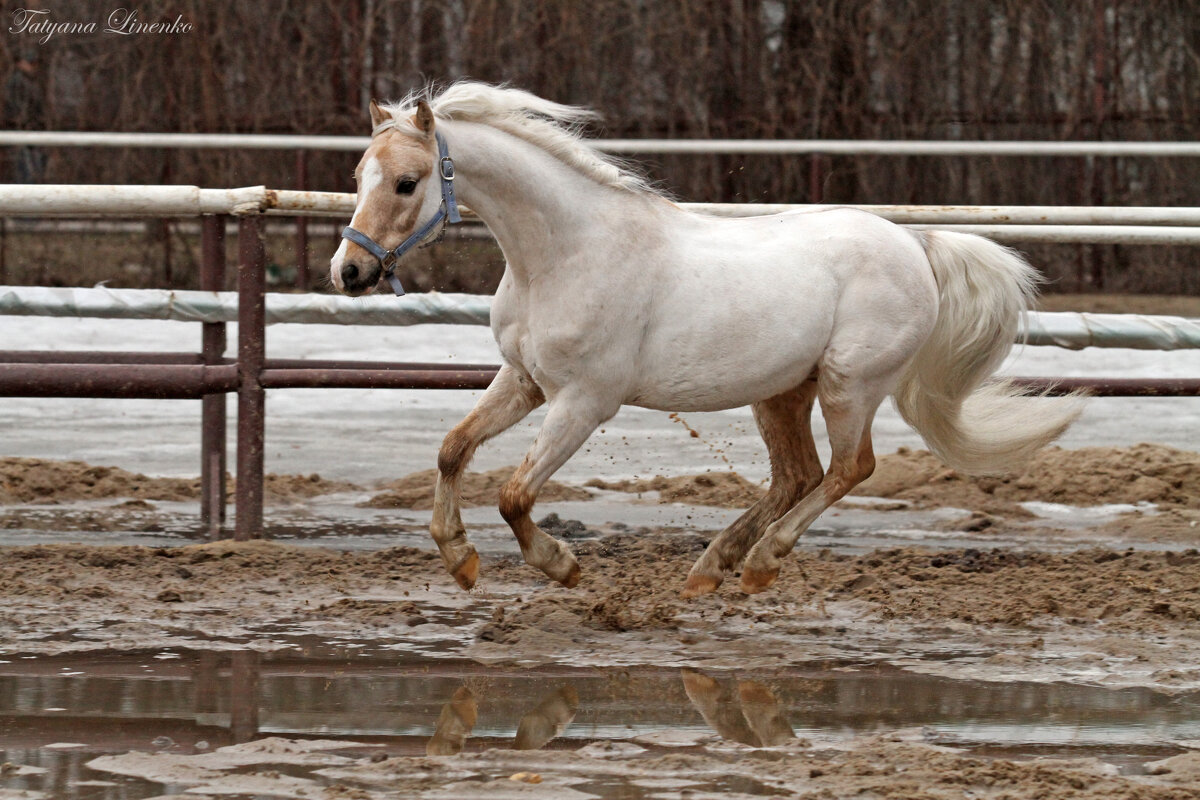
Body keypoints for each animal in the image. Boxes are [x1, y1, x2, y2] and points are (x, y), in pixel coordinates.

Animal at [331, 82, 1089, 594]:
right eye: (359, 176)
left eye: (408, 182)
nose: (349, 271)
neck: (565, 253)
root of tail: (915, 244)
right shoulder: (523, 382)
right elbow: (452, 449)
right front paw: (458, 559)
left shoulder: (584, 402)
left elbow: (515, 495)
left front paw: (564, 568)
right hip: (782, 392)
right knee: (797, 475)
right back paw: (709, 570)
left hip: (849, 385)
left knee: (849, 469)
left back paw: (758, 565)